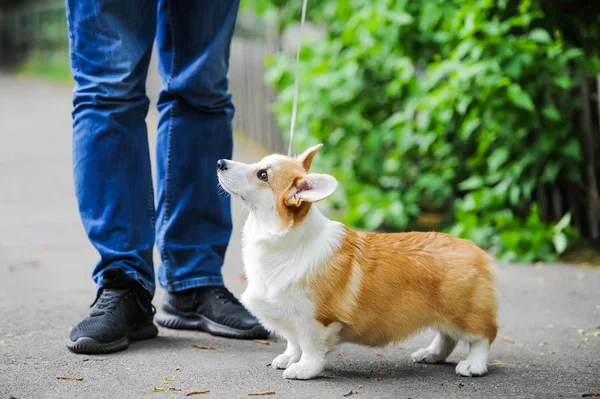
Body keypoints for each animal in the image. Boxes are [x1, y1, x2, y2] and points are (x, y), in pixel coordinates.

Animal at [216, 145, 496, 382]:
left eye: (262, 174)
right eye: (260, 165)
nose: (219, 162)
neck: (284, 241)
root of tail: (477, 250)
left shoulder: (314, 320)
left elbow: (310, 348)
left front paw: (303, 369)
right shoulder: (288, 316)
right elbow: (293, 342)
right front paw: (287, 358)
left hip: (463, 313)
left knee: (482, 338)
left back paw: (473, 365)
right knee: (446, 337)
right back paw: (431, 355)